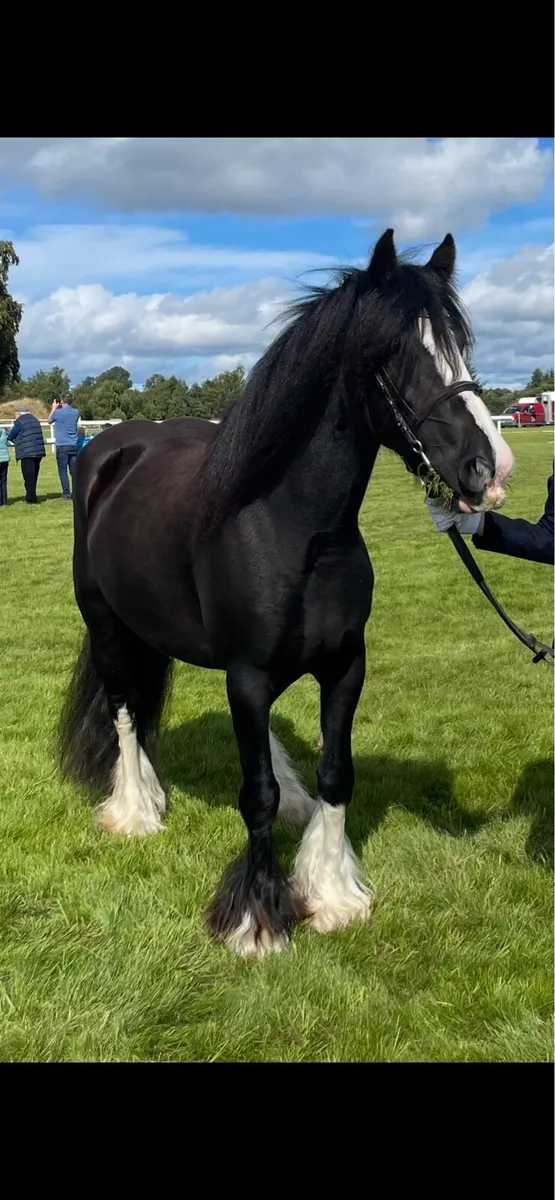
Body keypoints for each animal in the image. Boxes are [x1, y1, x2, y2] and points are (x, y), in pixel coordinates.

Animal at [58, 229, 515, 958]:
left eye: (460, 346)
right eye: (394, 352)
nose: (488, 469)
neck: (294, 528)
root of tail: (113, 449)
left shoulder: (343, 666)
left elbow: (336, 773)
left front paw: (330, 894)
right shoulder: (245, 675)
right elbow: (256, 796)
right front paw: (256, 920)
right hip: (108, 626)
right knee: (126, 710)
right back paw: (136, 809)